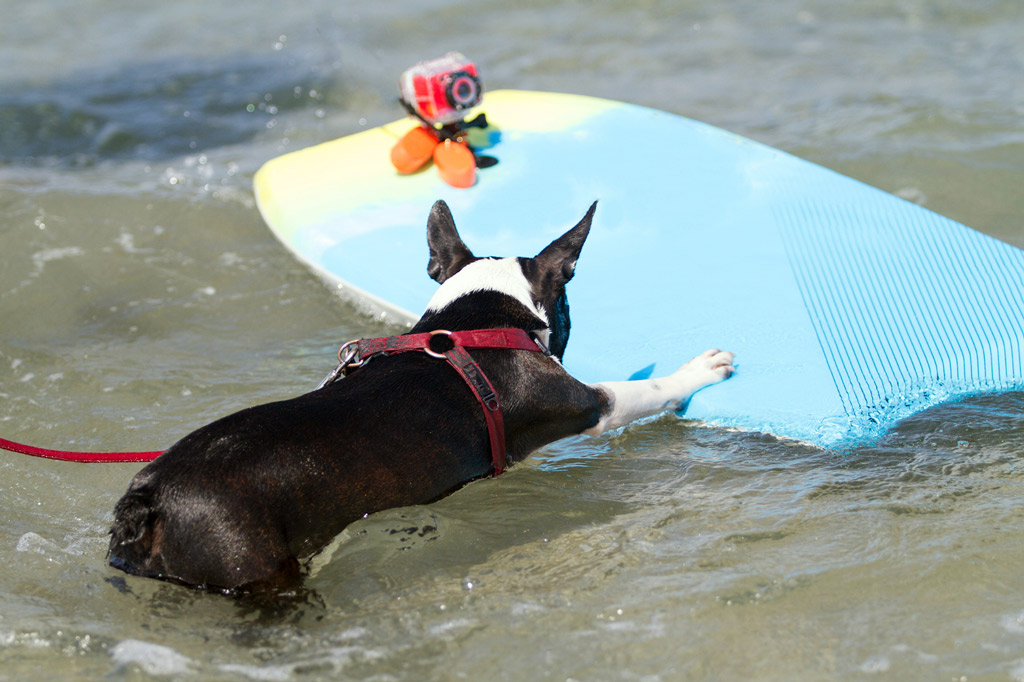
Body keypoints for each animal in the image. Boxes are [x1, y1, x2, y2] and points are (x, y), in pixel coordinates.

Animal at [105, 200, 737, 589]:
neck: (476, 319)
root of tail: (149, 498)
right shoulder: (584, 403)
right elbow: (643, 390)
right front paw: (698, 371)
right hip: (252, 567)